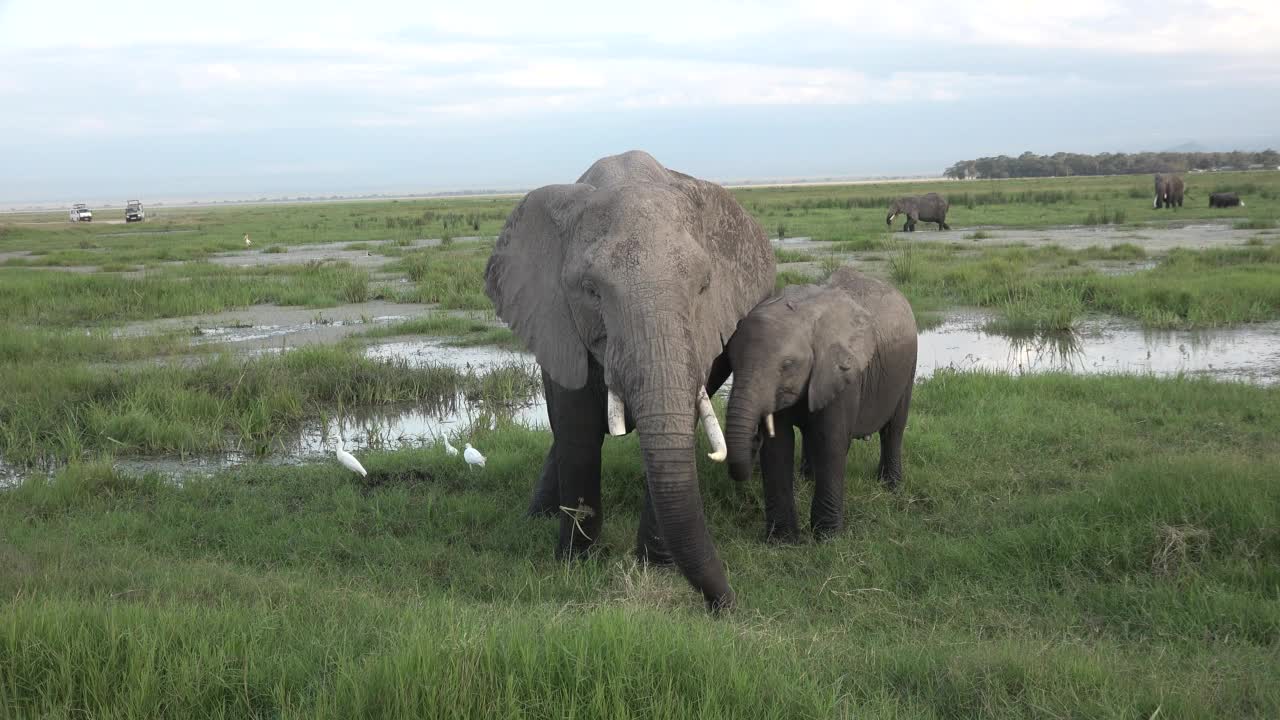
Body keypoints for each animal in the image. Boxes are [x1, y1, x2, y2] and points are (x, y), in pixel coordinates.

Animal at [483, 148, 773, 607]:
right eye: (591, 292)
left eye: (704, 287)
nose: (727, 603)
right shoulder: (557, 316)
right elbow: (577, 431)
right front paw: (575, 563)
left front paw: (655, 565)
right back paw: (536, 518)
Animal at [727, 267, 916, 538]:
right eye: (730, 361)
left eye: (787, 365)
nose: (754, 437)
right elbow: (778, 446)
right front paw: (782, 540)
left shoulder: (841, 373)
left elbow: (830, 440)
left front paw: (827, 538)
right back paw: (807, 479)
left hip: (908, 367)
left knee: (894, 428)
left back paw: (890, 486)